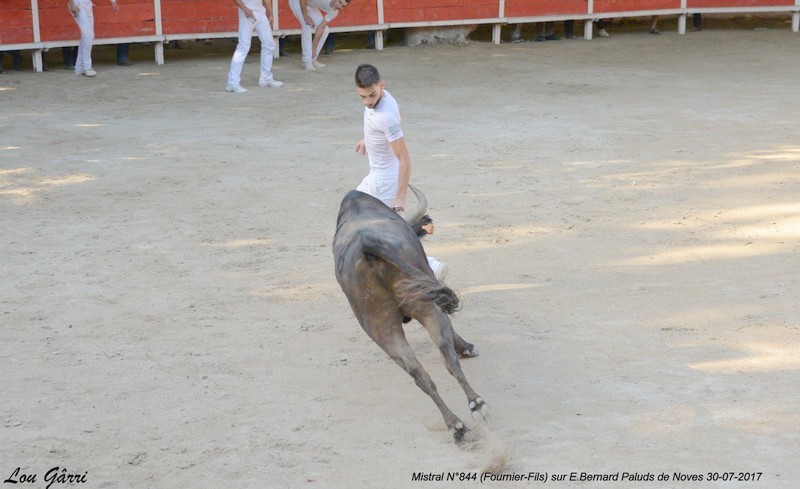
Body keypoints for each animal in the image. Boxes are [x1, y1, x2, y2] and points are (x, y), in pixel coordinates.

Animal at [332, 184, 488, 442]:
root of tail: (367, 245)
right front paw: (466, 347)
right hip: (427, 307)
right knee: (448, 357)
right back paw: (476, 404)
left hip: (381, 328)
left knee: (419, 375)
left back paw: (457, 427)